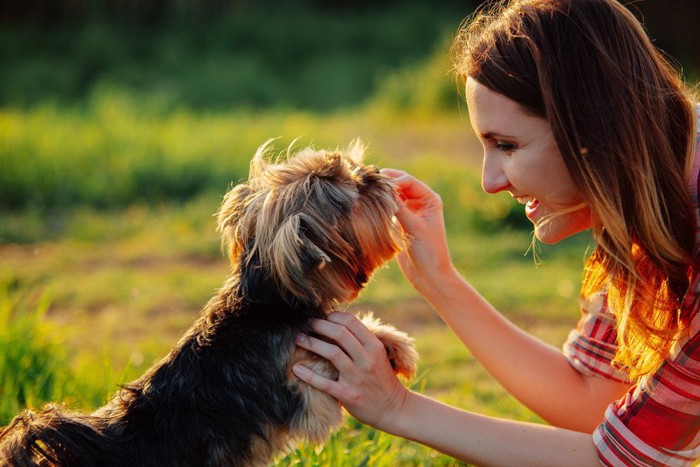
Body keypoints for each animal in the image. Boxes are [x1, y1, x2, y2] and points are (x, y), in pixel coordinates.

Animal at [0, 140, 416, 467]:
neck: (269, 298)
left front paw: (392, 344)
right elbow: (325, 365)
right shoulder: (305, 391)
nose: (375, 174)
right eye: (357, 191)